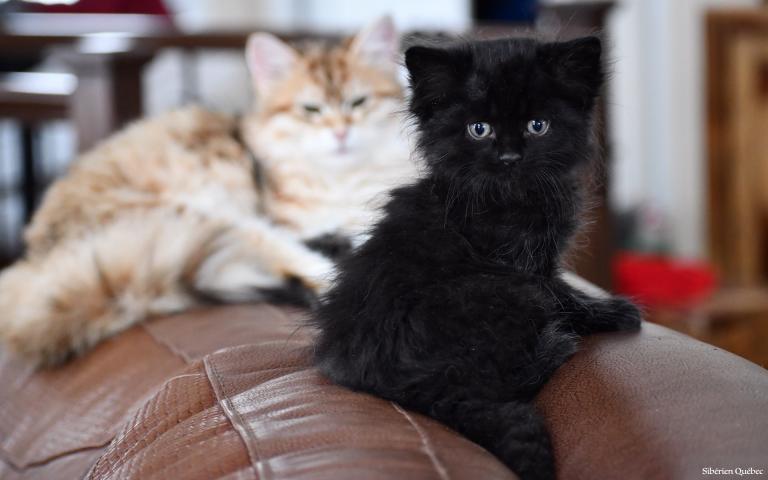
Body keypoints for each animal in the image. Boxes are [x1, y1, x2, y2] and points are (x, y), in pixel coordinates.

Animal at [312, 36, 640, 480]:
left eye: (538, 126)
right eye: (479, 130)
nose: (509, 157)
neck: (507, 197)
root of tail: (403, 385)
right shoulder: (528, 268)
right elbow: (564, 296)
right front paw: (612, 311)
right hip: (506, 293)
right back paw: (554, 345)